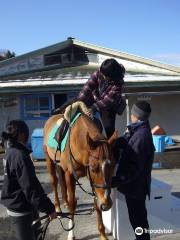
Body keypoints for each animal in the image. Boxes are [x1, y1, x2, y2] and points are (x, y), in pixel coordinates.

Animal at [43, 111, 116, 239]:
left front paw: (102, 234)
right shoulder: (70, 175)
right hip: (49, 160)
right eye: (93, 168)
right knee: (54, 182)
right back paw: (58, 208)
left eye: (112, 166)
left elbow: (96, 203)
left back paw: (64, 202)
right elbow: (73, 203)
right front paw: (71, 234)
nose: (106, 204)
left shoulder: (94, 183)